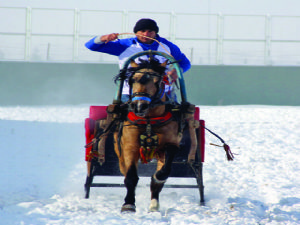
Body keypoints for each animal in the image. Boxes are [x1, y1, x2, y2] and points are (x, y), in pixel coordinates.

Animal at [112, 57, 183, 212]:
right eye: (132, 80)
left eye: (157, 81)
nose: (140, 106)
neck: (149, 120)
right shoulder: (130, 147)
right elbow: (131, 176)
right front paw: (128, 204)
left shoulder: (171, 143)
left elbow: (164, 172)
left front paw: (157, 178)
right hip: (120, 154)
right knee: (124, 171)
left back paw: (154, 204)